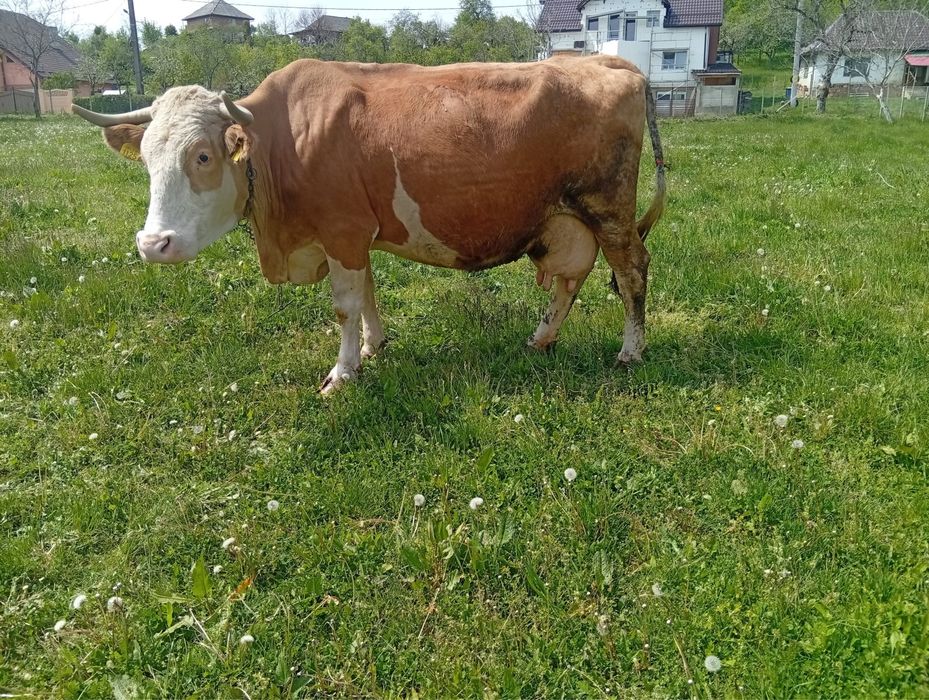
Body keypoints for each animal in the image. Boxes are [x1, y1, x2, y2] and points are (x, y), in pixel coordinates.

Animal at [72, 55, 666, 394]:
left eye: (202, 156)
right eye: (147, 158)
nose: (154, 244)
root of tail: (614, 63)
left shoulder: (342, 230)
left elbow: (344, 304)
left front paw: (343, 372)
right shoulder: (354, 234)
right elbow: (368, 294)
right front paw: (373, 347)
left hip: (609, 207)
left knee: (631, 270)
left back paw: (631, 351)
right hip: (568, 216)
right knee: (570, 278)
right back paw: (540, 339)